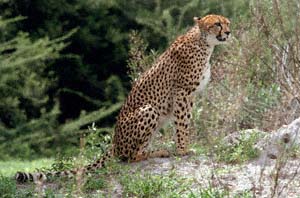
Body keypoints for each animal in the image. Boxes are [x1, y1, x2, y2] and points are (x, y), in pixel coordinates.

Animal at [15, 14, 230, 183]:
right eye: (217, 24)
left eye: (227, 23)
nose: (228, 33)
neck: (204, 43)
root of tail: (114, 142)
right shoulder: (183, 92)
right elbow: (183, 122)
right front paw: (184, 149)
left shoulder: (190, 95)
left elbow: (185, 121)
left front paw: (184, 146)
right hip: (148, 109)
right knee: (128, 157)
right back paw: (158, 152)